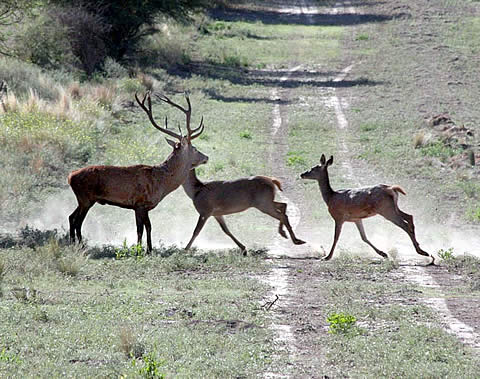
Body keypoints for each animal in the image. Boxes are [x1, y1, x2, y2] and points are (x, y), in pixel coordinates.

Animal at [68, 92, 208, 252]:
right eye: (194, 149)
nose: (206, 157)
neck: (161, 183)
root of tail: (70, 177)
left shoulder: (138, 207)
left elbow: (143, 227)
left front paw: (146, 248)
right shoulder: (141, 203)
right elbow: (145, 228)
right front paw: (143, 250)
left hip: (82, 199)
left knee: (71, 217)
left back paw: (72, 243)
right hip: (86, 198)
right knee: (77, 221)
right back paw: (81, 245)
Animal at [300, 154, 436, 264]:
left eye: (314, 168)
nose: (302, 174)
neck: (330, 197)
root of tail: (391, 188)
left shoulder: (339, 217)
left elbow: (336, 237)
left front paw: (327, 257)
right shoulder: (356, 219)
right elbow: (364, 237)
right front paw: (383, 254)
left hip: (386, 210)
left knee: (405, 224)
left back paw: (422, 252)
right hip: (394, 207)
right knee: (410, 216)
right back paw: (424, 250)